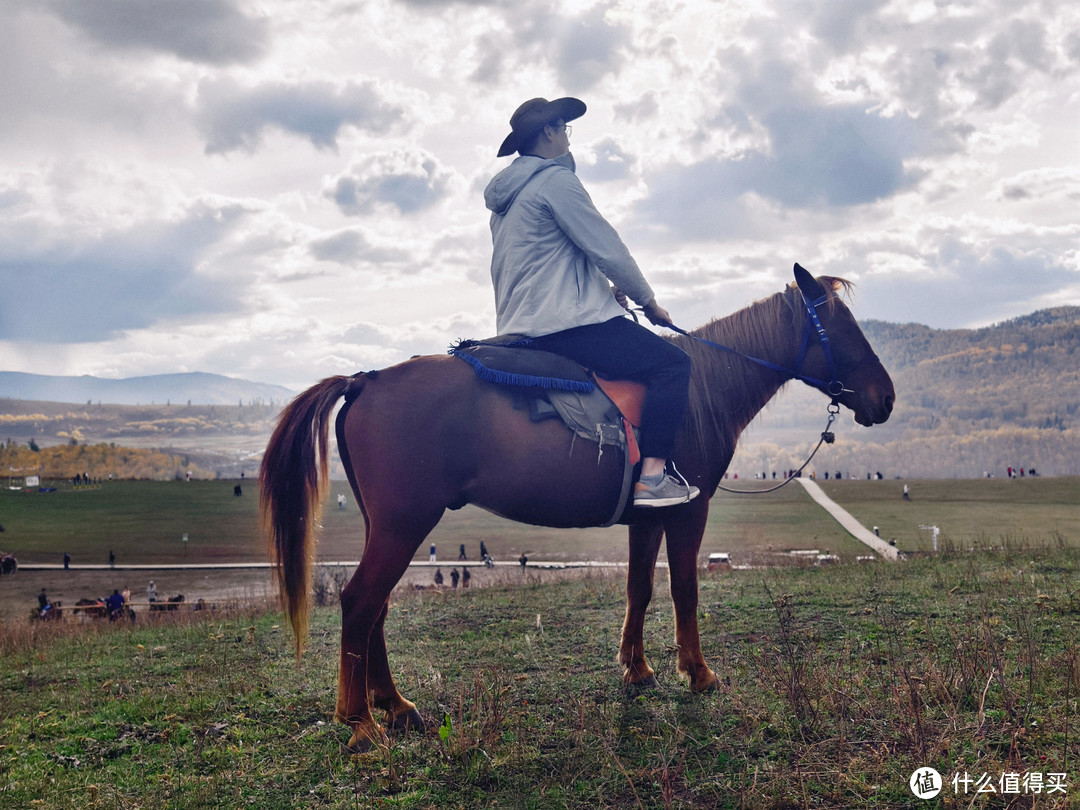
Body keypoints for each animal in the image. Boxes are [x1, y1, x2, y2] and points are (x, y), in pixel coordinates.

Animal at [259, 263, 894, 751]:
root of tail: (365, 380)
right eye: (843, 328)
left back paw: (394, 705)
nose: (885, 399)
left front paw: (637, 669)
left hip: (388, 526)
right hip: (405, 524)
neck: (700, 390)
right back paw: (362, 723)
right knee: (361, 602)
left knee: (377, 607)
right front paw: (698, 672)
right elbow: (684, 589)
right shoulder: (689, 511)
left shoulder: (648, 516)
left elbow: (640, 587)